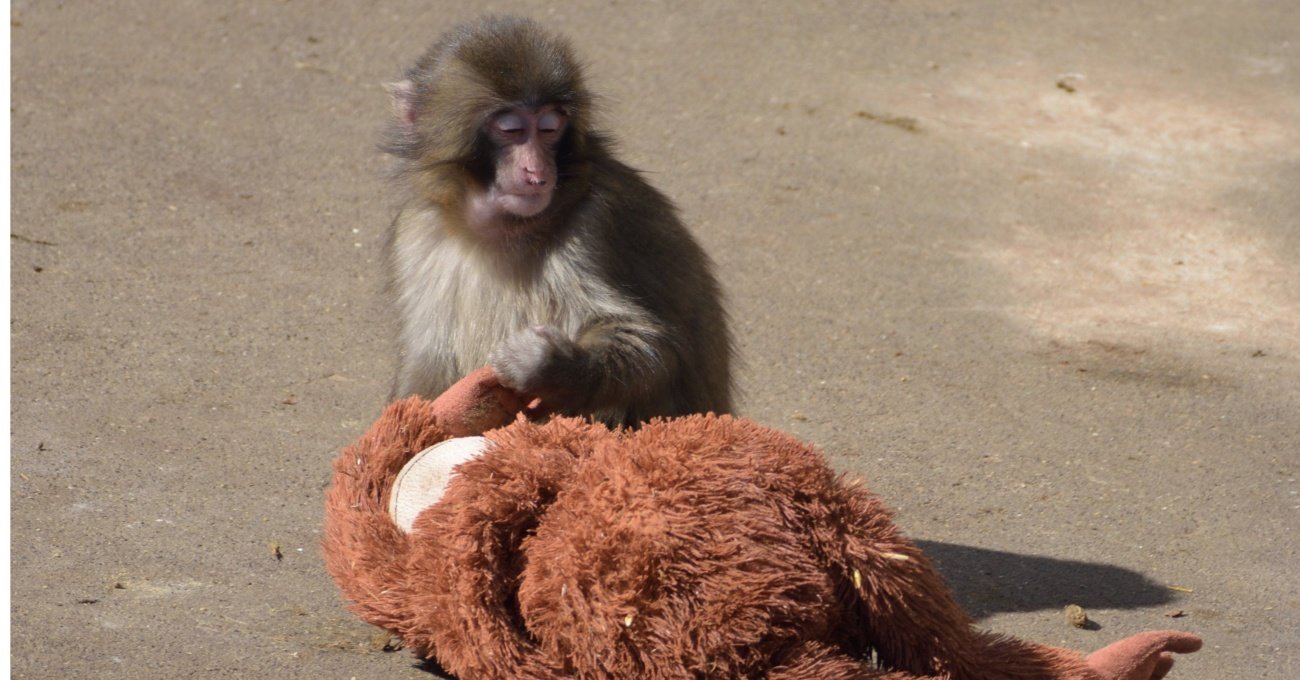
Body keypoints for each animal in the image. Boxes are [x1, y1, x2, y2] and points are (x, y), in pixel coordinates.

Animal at [381, 16, 734, 428]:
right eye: (512, 130)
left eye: (550, 128)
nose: (537, 171)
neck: (502, 229)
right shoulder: (417, 232)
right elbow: (429, 362)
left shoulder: (594, 224)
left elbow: (647, 344)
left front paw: (544, 365)